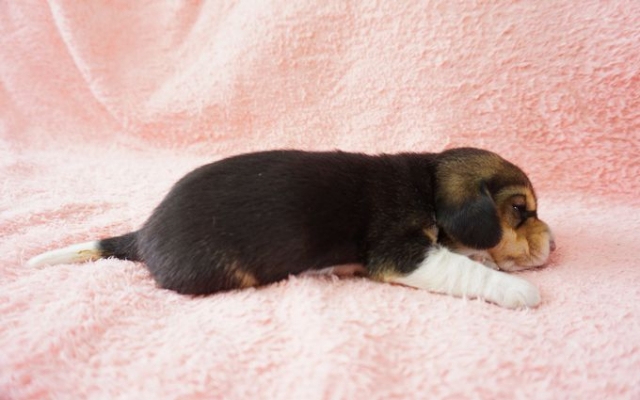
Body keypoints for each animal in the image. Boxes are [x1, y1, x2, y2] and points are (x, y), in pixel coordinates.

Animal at [27, 147, 555, 309]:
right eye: (520, 211)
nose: (554, 243)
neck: (428, 184)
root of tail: (143, 232)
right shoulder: (402, 252)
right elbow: (462, 268)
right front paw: (516, 290)